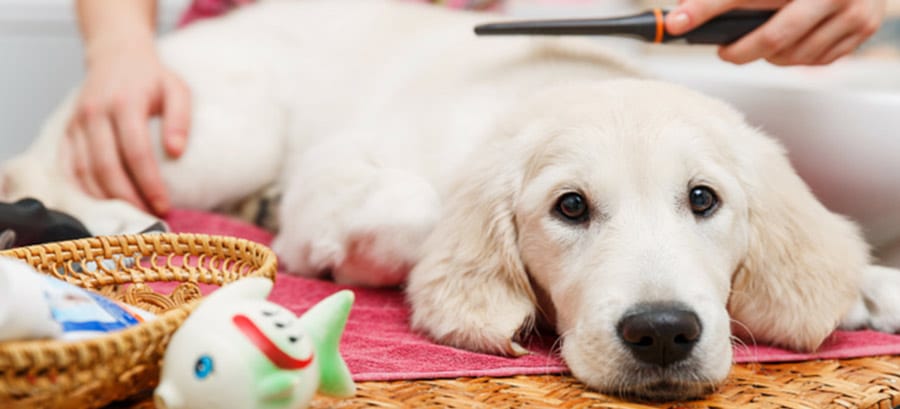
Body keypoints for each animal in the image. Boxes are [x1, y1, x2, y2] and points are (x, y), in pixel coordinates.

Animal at [1, 0, 900, 402]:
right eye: (570, 207)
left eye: (704, 199)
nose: (662, 333)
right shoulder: (337, 173)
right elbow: (415, 209)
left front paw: (872, 286)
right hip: (221, 134)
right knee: (48, 167)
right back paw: (119, 222)